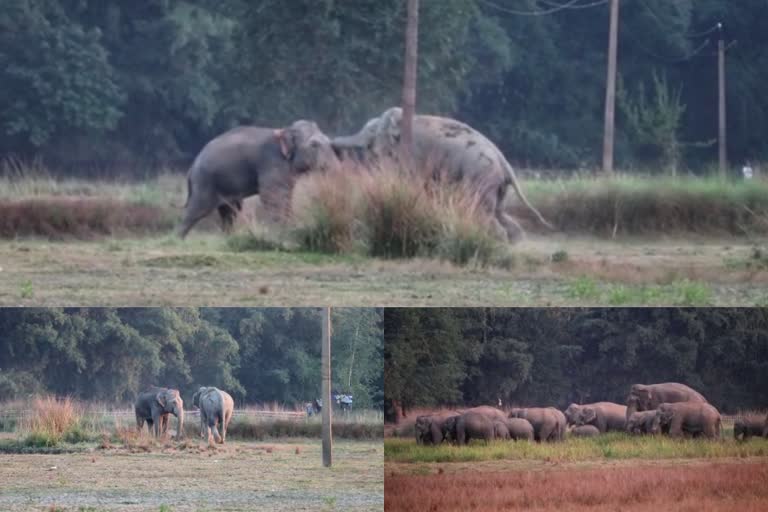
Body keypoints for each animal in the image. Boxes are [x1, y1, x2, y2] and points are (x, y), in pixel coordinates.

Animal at [180, 120, 340, 238]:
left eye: (329, 141)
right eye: (314, 145)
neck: (285, 130)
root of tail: (192, 167)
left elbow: (287, 195)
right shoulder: (272, 161)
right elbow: (273, 197)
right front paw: (283, 233)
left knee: (230, 212)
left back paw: (228, 238)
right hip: (205, 181)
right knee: (197, 210)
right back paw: (179, 238)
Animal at [330, 106, 552, 242]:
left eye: (369, 133)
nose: (333, 146)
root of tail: (504, 162)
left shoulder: (411, 157)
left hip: (481, 177)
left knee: (484, 213)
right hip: (496, 185)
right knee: (499, 213)